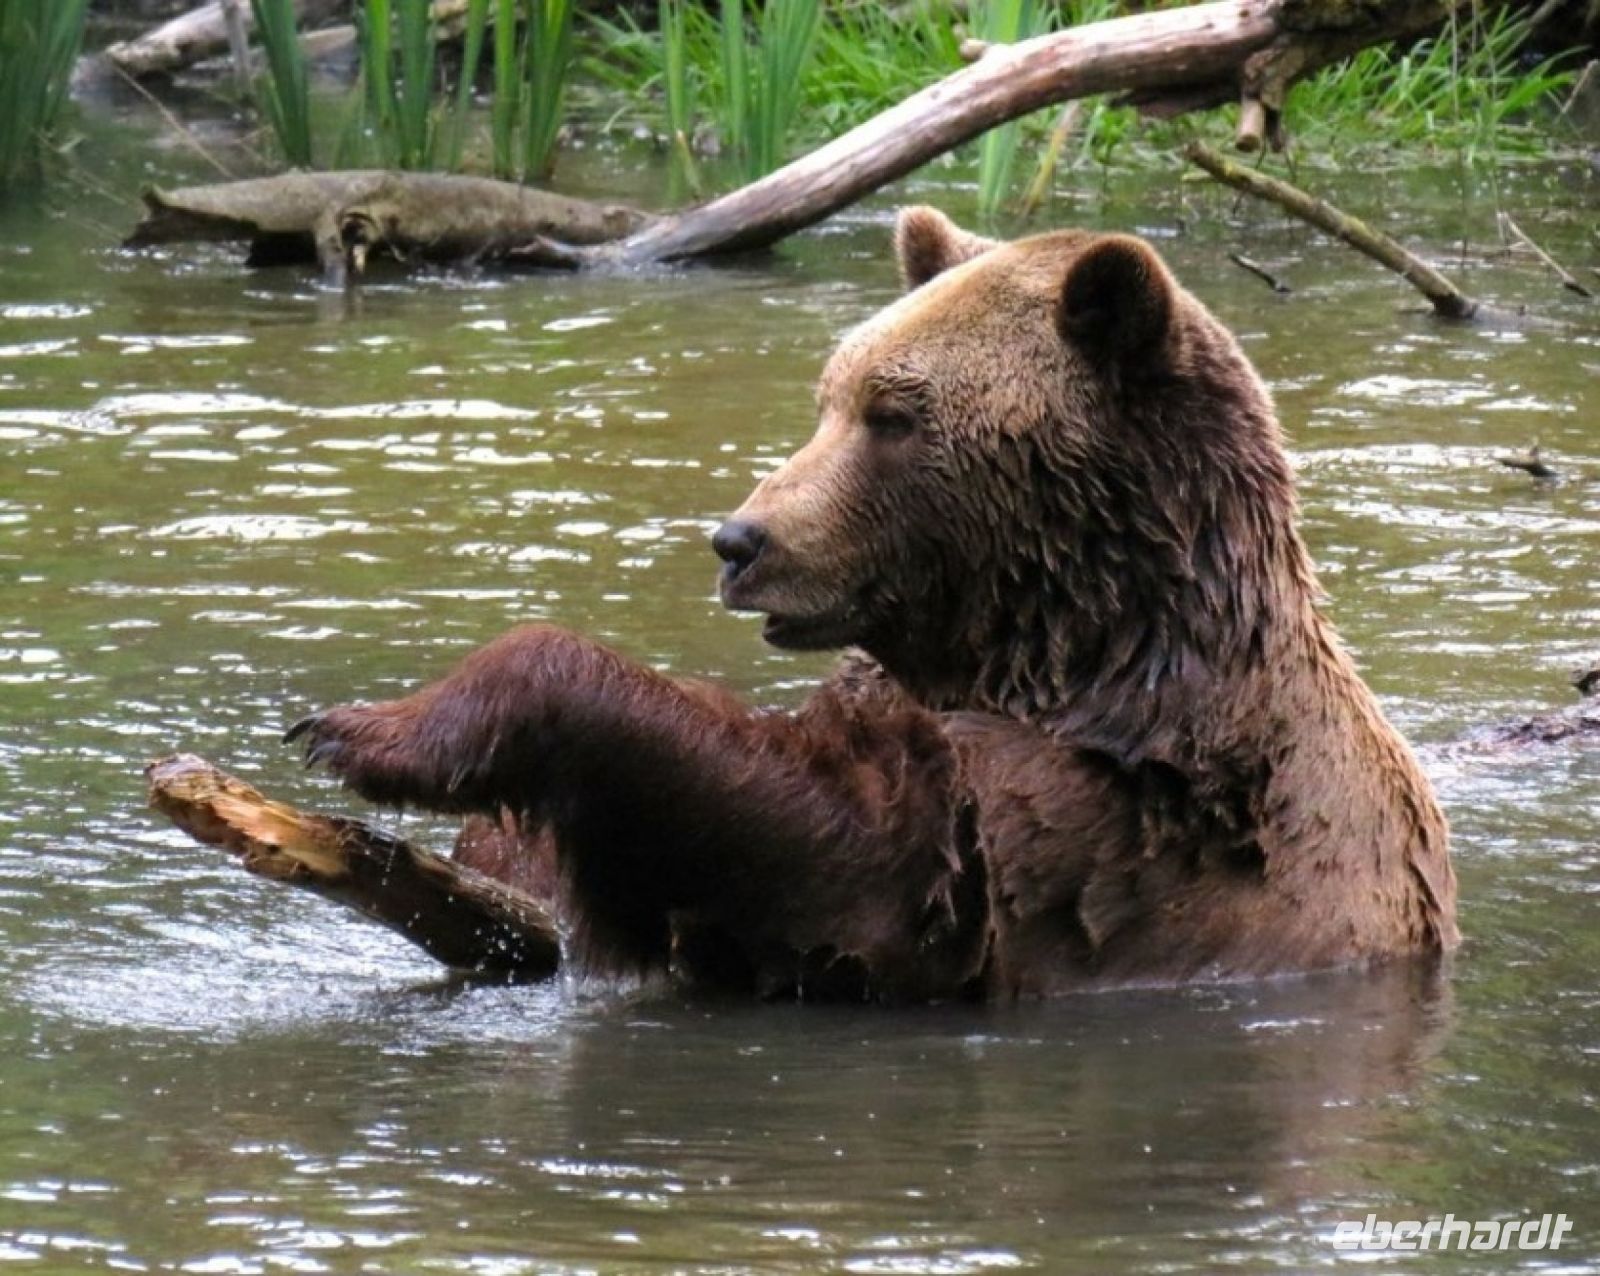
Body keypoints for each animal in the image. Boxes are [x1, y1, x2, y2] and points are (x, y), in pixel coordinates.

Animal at [285, 207, 1459, 1001]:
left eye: (893, 414)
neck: (1072, 642)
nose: (741, 540)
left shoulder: (1123, 817)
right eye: (829, 395)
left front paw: (373, 731)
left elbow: (841, 866)